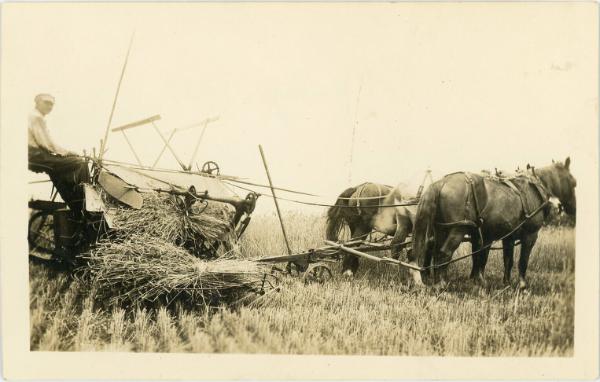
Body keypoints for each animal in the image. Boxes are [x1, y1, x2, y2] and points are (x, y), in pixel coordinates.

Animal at [410, 158, 576, 290]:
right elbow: (523, 261)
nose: (572, 209)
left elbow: (507, 260)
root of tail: (441, 183)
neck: (533, 187)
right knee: (444, 253)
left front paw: (506, 283)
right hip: (457, 229)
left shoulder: (508, 237)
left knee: (434, 250)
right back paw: (442, 284)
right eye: (573, 182)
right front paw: (522, 285)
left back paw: (434, 279)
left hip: (441, 229)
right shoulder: (530, 235)